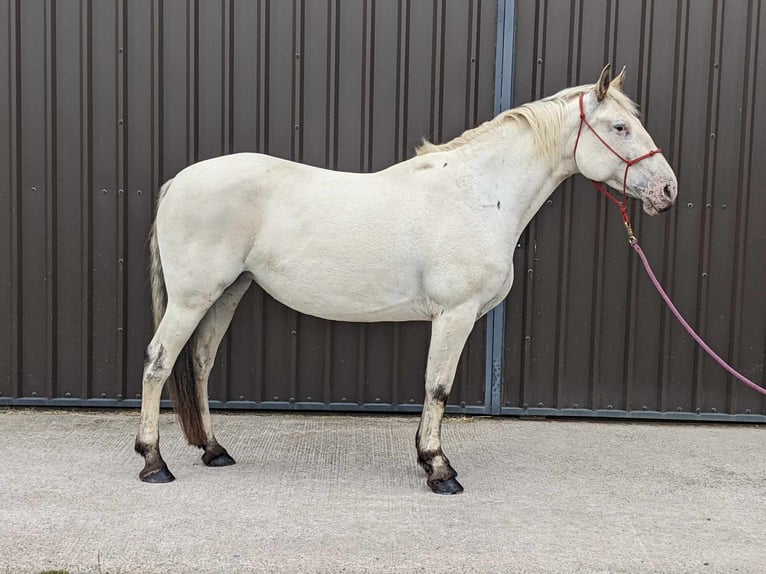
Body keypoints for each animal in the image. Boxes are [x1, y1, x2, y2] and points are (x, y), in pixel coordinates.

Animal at [136, 64, 680, 496]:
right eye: (620, 126)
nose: (668, 190)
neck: (478, 194)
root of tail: (178, 182)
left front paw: (428, 459)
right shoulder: (455, 313)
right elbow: (437, 387)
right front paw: (439, 469)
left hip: (227, 292)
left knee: (199, 365)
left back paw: (214, 450)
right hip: (192, 298)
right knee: (158, 363)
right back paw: (154, 461)